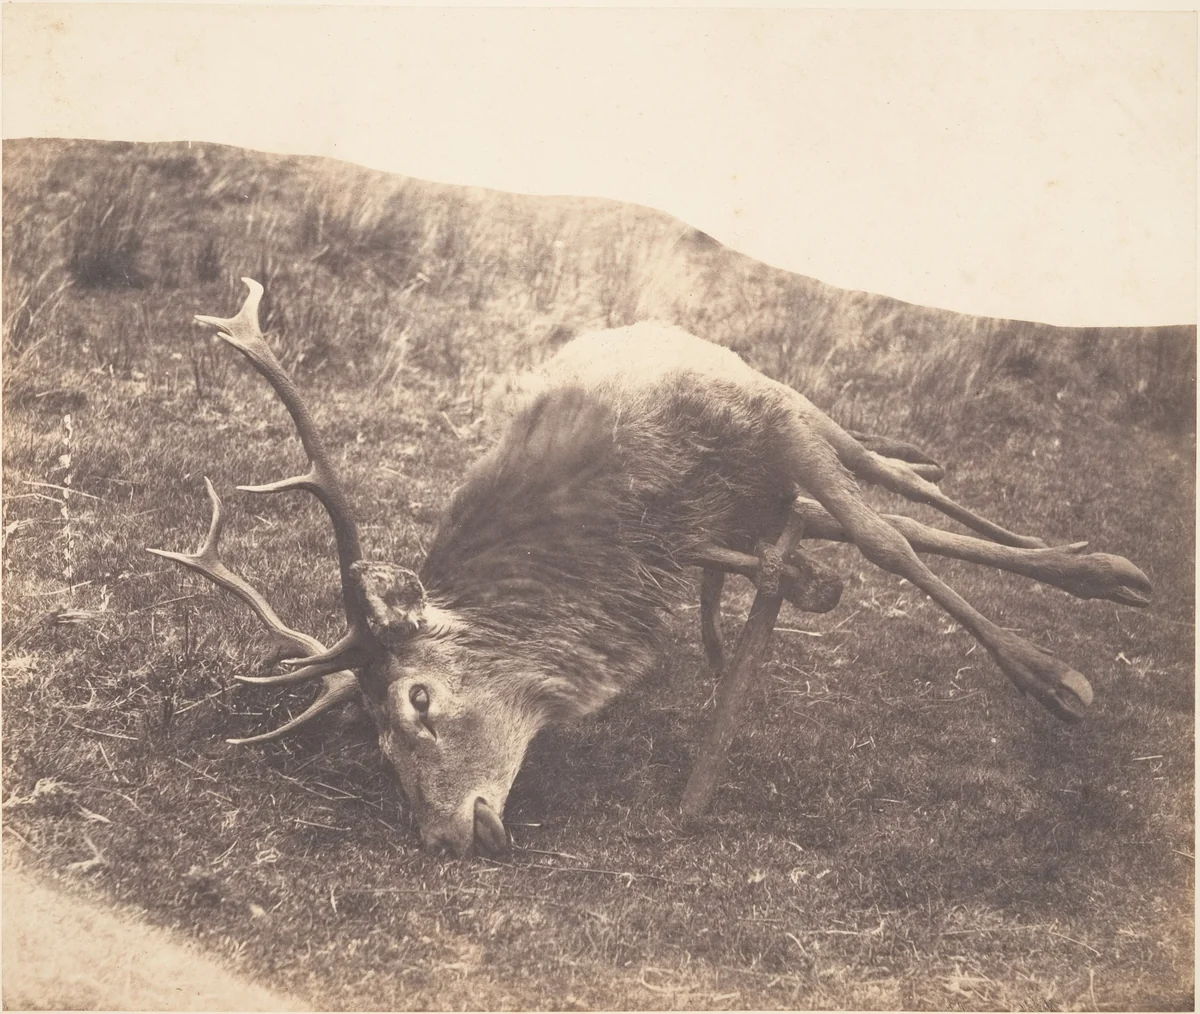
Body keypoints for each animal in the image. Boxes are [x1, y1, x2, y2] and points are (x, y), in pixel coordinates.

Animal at [149, 278, 1152, 856]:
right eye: (375, 741)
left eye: (417, 700)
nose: (439, 837)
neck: (621, 511)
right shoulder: (695, 535)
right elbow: (845, 542)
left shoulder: (768, 417)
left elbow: (887, 539)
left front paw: (1053, 677)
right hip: (756, 496)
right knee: (839, 512)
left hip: (790, 412)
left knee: (887, 482)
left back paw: (1098, 566)